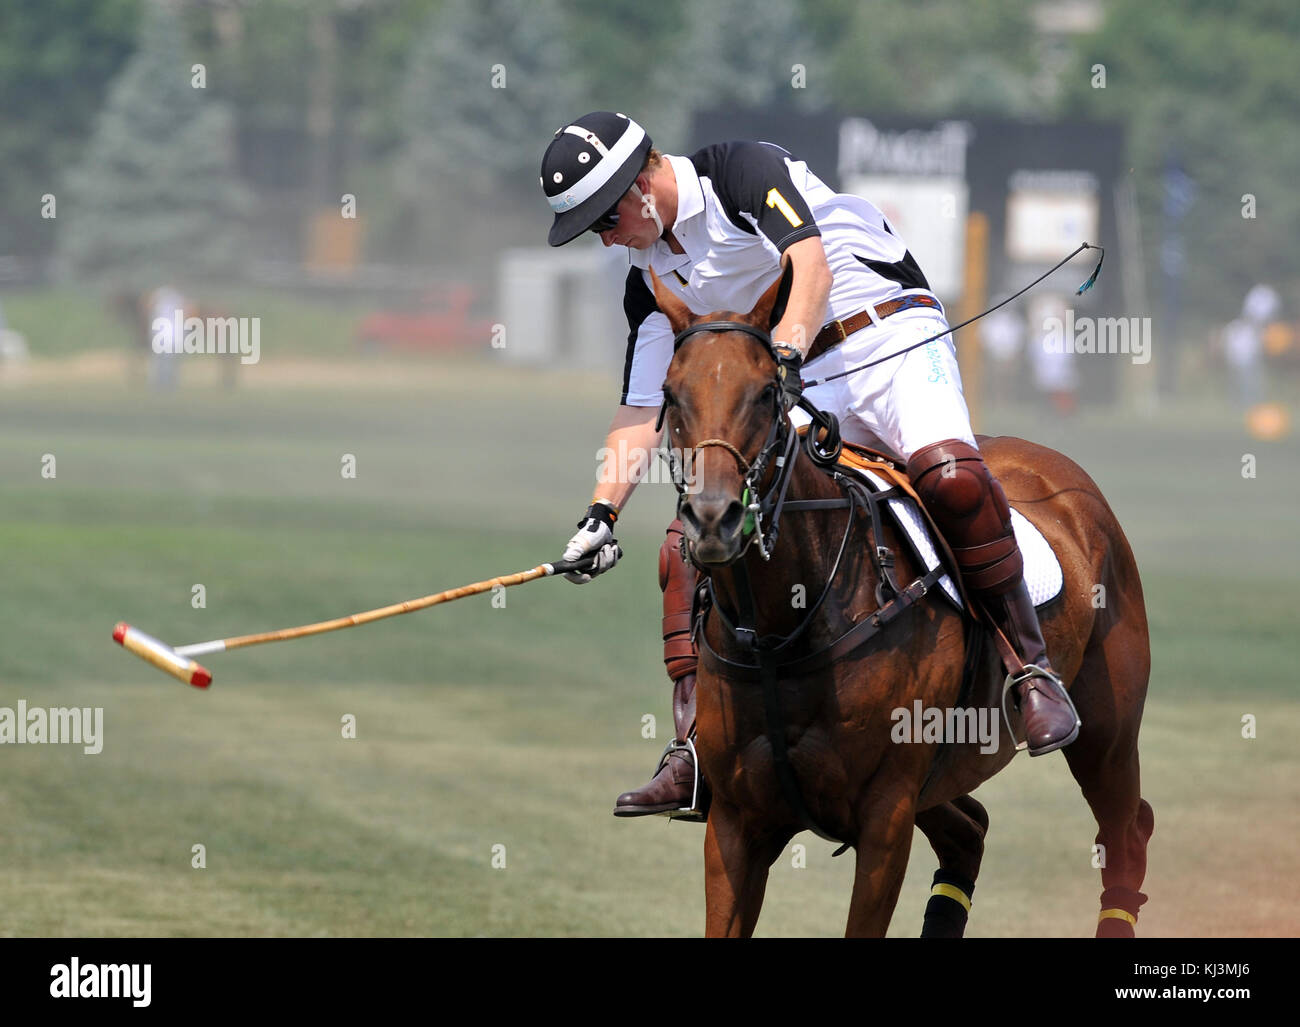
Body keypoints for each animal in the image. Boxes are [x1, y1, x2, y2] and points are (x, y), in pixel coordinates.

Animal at [650, 269, 1159, 935]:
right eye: (670, 393)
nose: (714, 519)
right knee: (972, 831)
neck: (783, 633)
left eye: (764, 394)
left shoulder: (885, 818)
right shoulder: (735, 824)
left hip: (1106, 733)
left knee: (1126, 833)